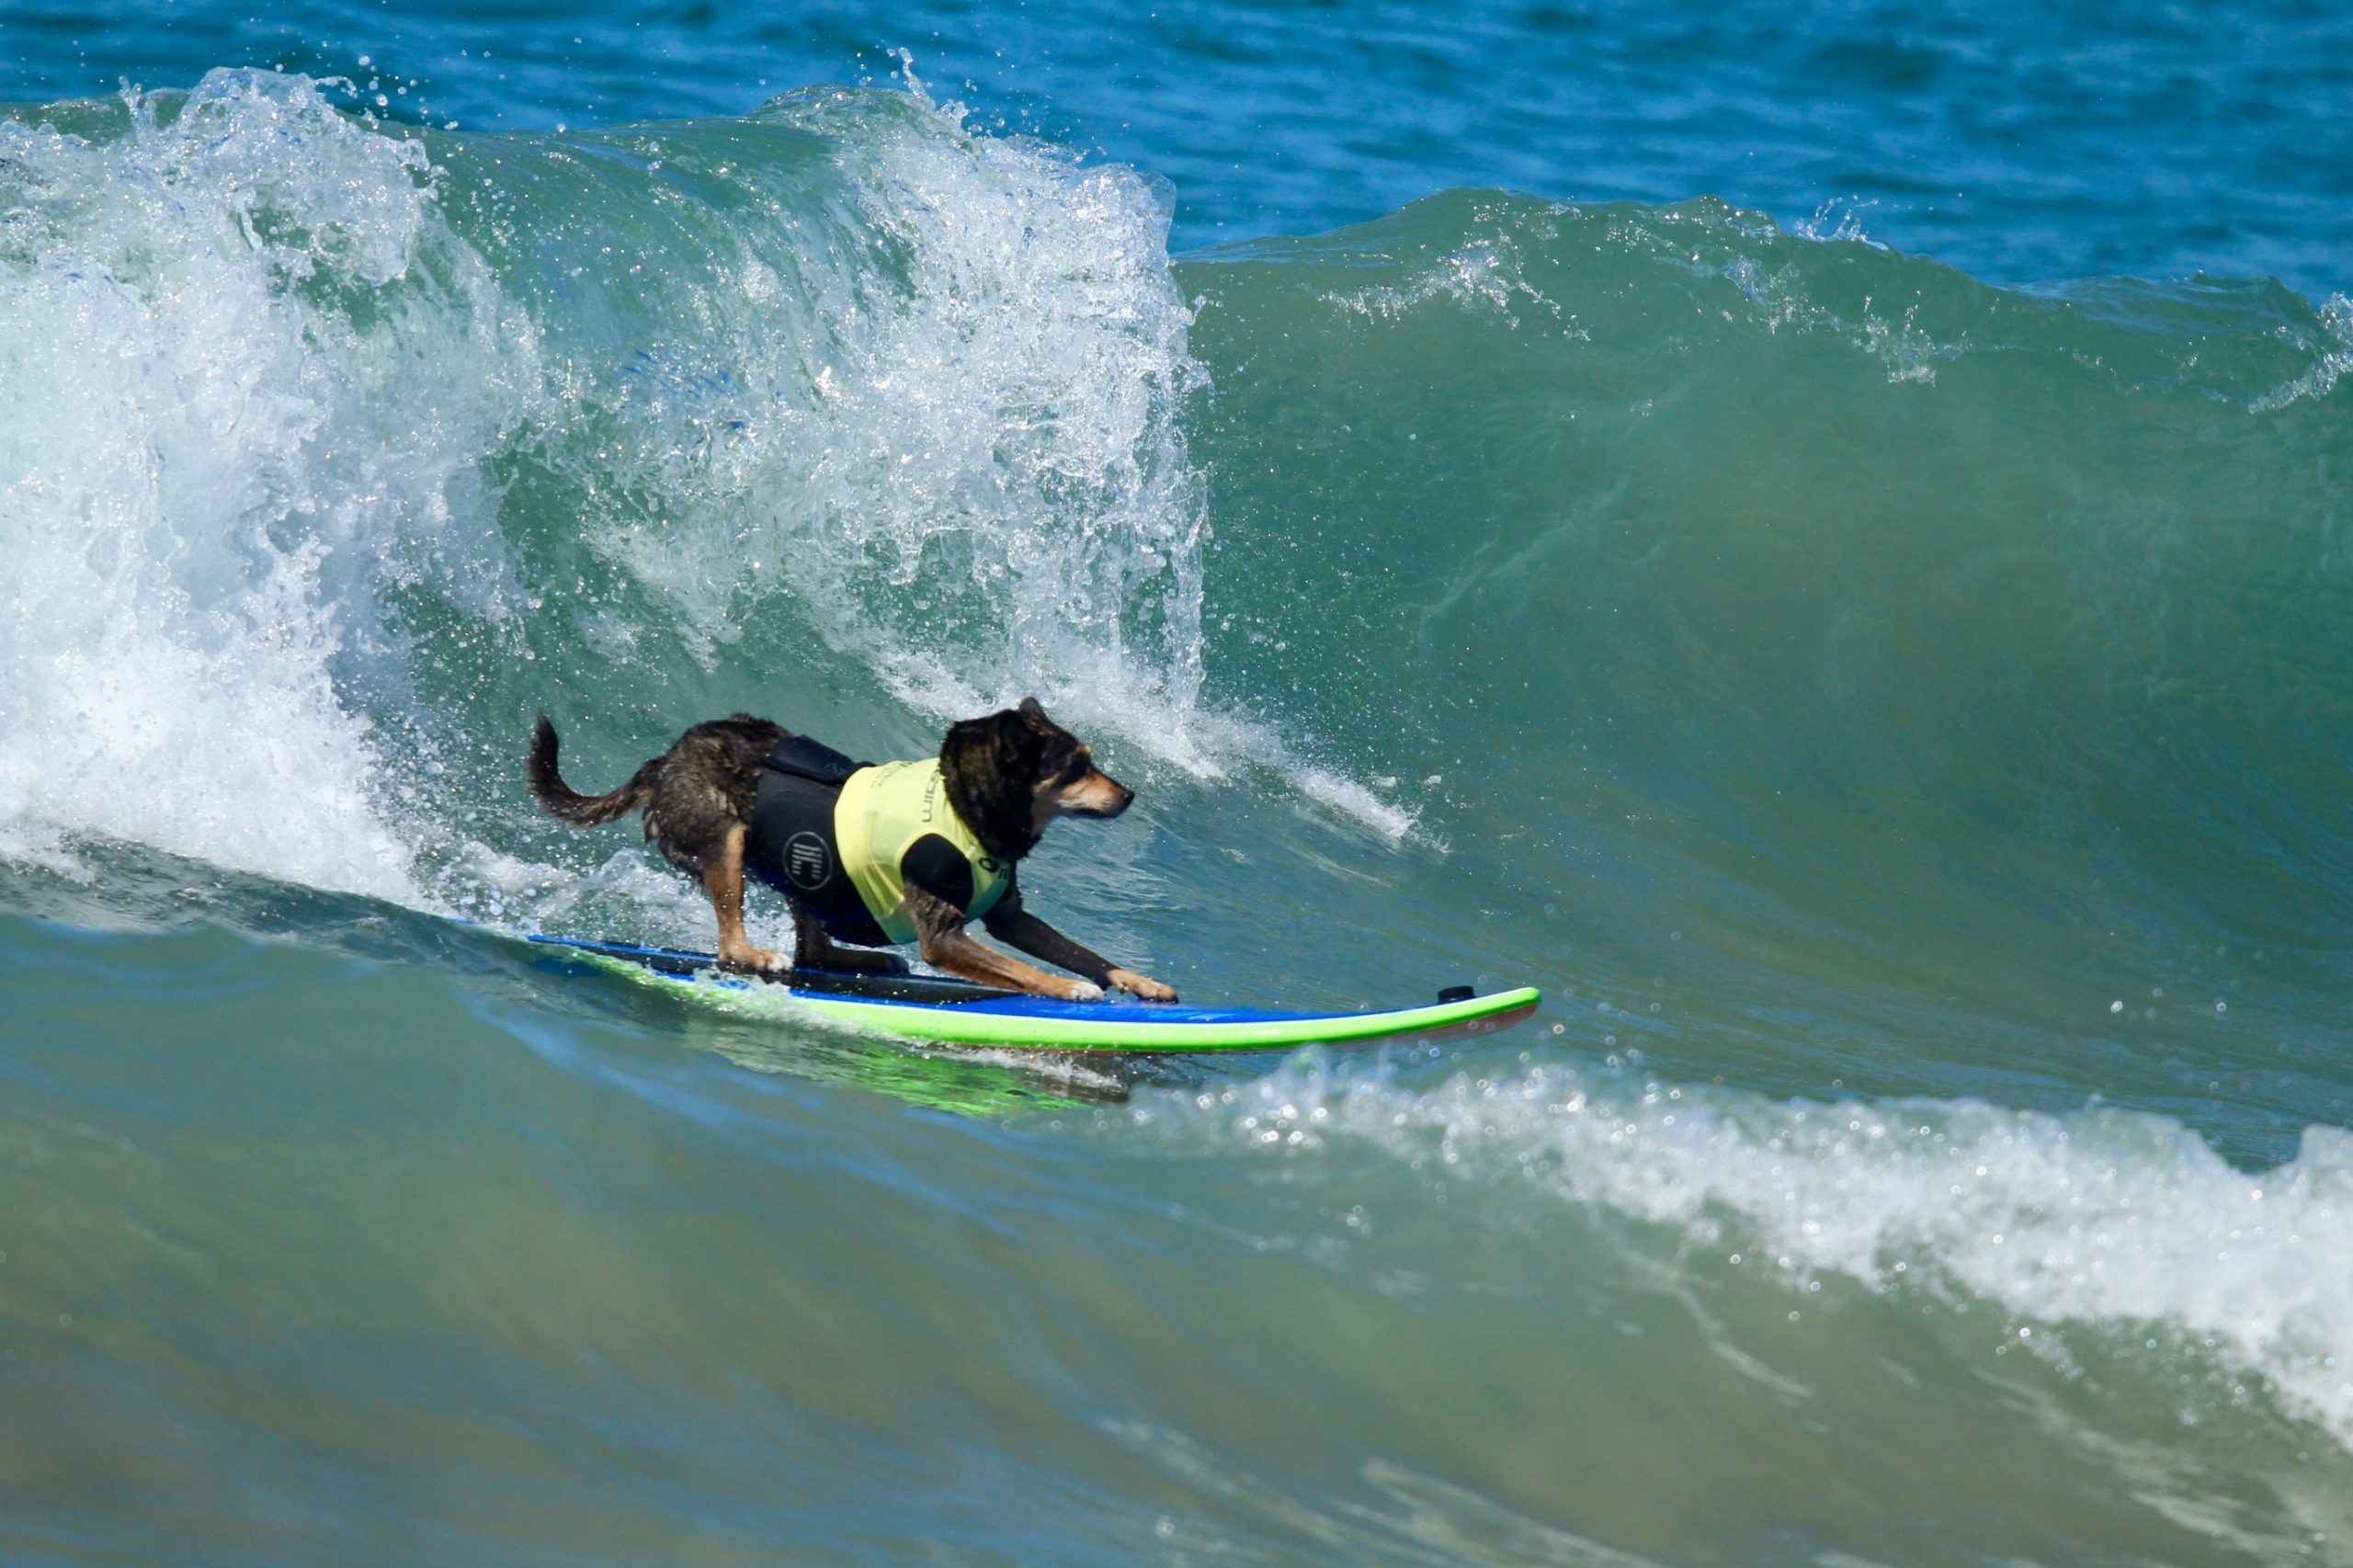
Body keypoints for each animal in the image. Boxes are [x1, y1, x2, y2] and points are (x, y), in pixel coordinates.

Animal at [529, 697, 1176, 1003]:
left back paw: (857, 959)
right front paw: (1067, 989)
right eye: (1077, 767)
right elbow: (1026, 970)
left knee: (811, 945)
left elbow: (1080, 951)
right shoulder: (943, 937)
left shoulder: (1011, 917)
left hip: (802, 860)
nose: (1129, 794)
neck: (968, 807)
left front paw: (1139, 983)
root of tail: (663, 761)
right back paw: (759, 955)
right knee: (732, 946)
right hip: (728, 839)